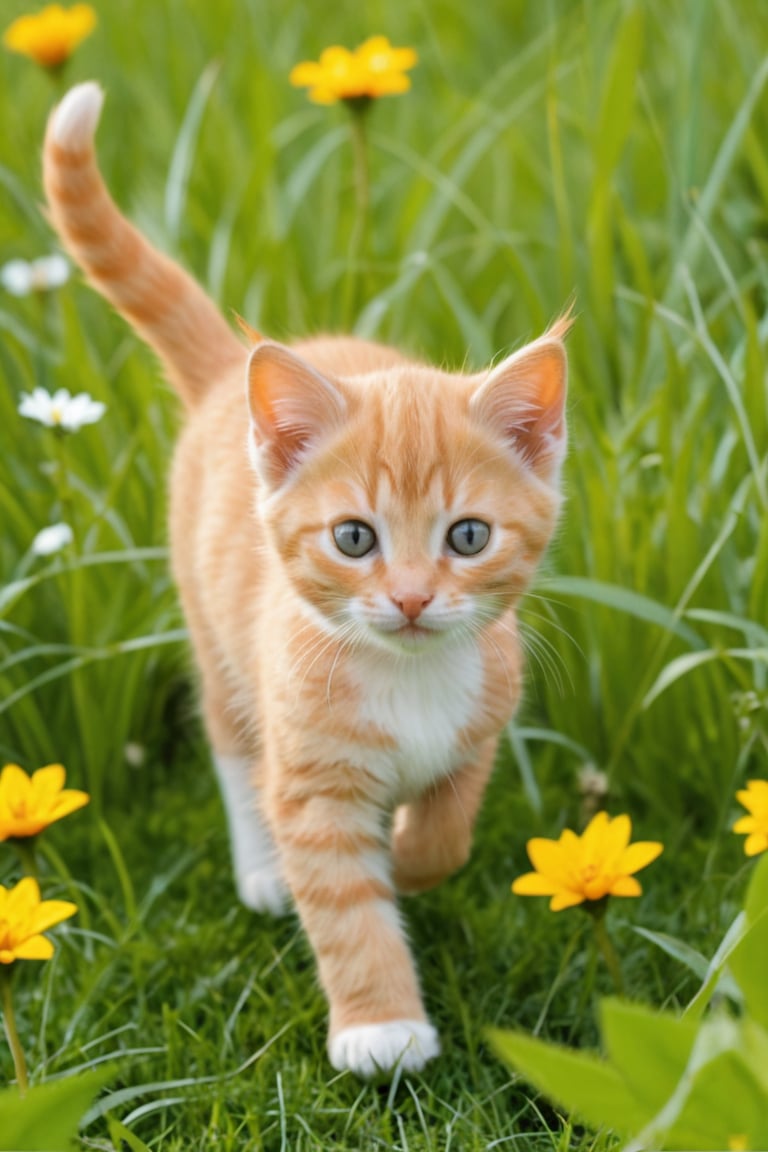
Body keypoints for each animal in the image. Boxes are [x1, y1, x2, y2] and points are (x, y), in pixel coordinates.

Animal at [42, 83, 571, 1078]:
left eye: (468, 536)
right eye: (355, 538)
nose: (411, 598)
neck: (406, 676)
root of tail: (228, 374)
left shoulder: (482, 718)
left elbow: (446, 829)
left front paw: (410, 857)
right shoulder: (311, 779)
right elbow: (342, 902)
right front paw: (381, 1028)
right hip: (216, 634)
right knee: (228, 737)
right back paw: (261, 868)